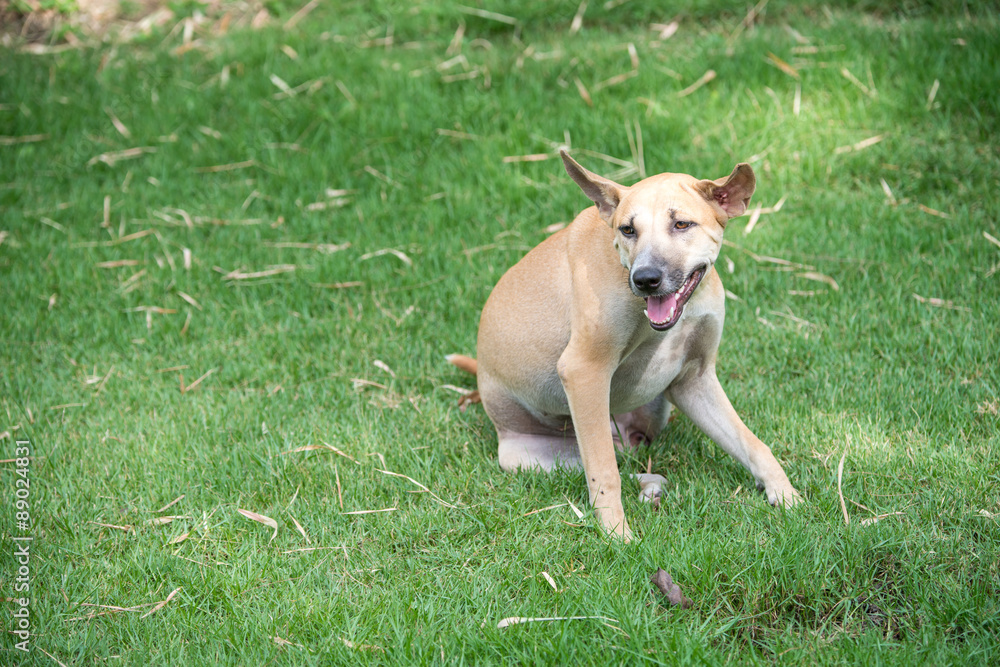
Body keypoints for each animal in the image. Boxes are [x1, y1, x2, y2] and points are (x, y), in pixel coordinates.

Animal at [450, 150, 800, 544]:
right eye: (627, 229)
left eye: (682, 224)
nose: (645, 279)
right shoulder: (584, 371)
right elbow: (604, 472)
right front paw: (616, 534)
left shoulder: (695, 381)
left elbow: (752, 443)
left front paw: (785, 493)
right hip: (535, 454)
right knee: (605, 464)